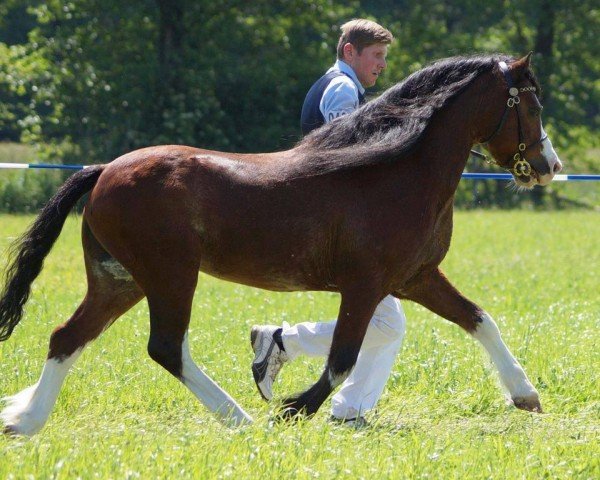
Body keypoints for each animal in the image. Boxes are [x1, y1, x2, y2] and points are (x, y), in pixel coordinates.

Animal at [1, 53, 564, 436]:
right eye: (531, 104)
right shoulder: (366, 285)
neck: (396, 170)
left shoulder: (415, 278)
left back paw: (25, 420)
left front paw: (526, 395)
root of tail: (102, 172)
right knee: (165, 346)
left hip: (119, 281)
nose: (549, 166)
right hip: (169, 276)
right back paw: (241, 419)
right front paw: (293, 410)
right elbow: (342, 358)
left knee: (67, 336)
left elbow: (479, 319)